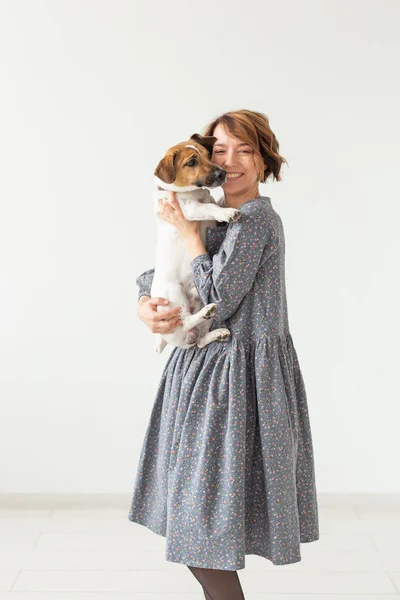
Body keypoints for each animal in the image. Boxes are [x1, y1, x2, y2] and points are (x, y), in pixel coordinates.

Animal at [151, 134, 241, 354]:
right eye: (191, 162)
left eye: (209, 154)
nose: (223, 173)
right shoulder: (190, 210)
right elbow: (210, 208)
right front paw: (227, 212)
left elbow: (212, 204)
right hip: (173, 294)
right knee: (185, 321)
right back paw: (205, 312)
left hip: (200, 300)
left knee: (199, 340)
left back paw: (217, 332)